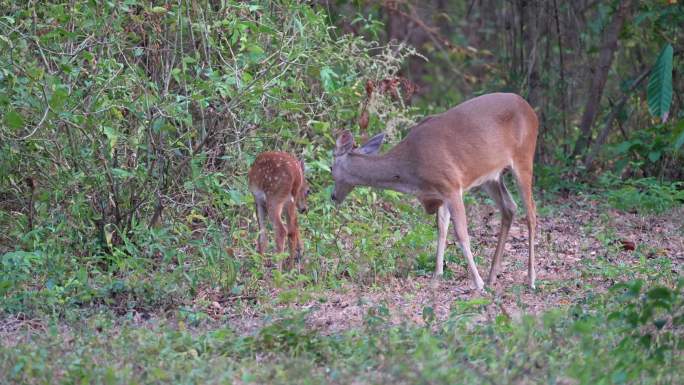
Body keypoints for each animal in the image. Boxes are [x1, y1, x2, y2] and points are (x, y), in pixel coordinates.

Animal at [332, 94, 540, 292]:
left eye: (331, 168)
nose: (333, 196)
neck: (410, 171)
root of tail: (531, 110)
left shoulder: (452, 185)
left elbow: (461, 234)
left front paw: (477, 283)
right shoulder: (441, 193)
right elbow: (441, 230)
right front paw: (436, 278)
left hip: (524, 156)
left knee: (531, 212)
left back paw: (530, 279)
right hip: (490, 176)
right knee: (509, 207)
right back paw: (492, 275)